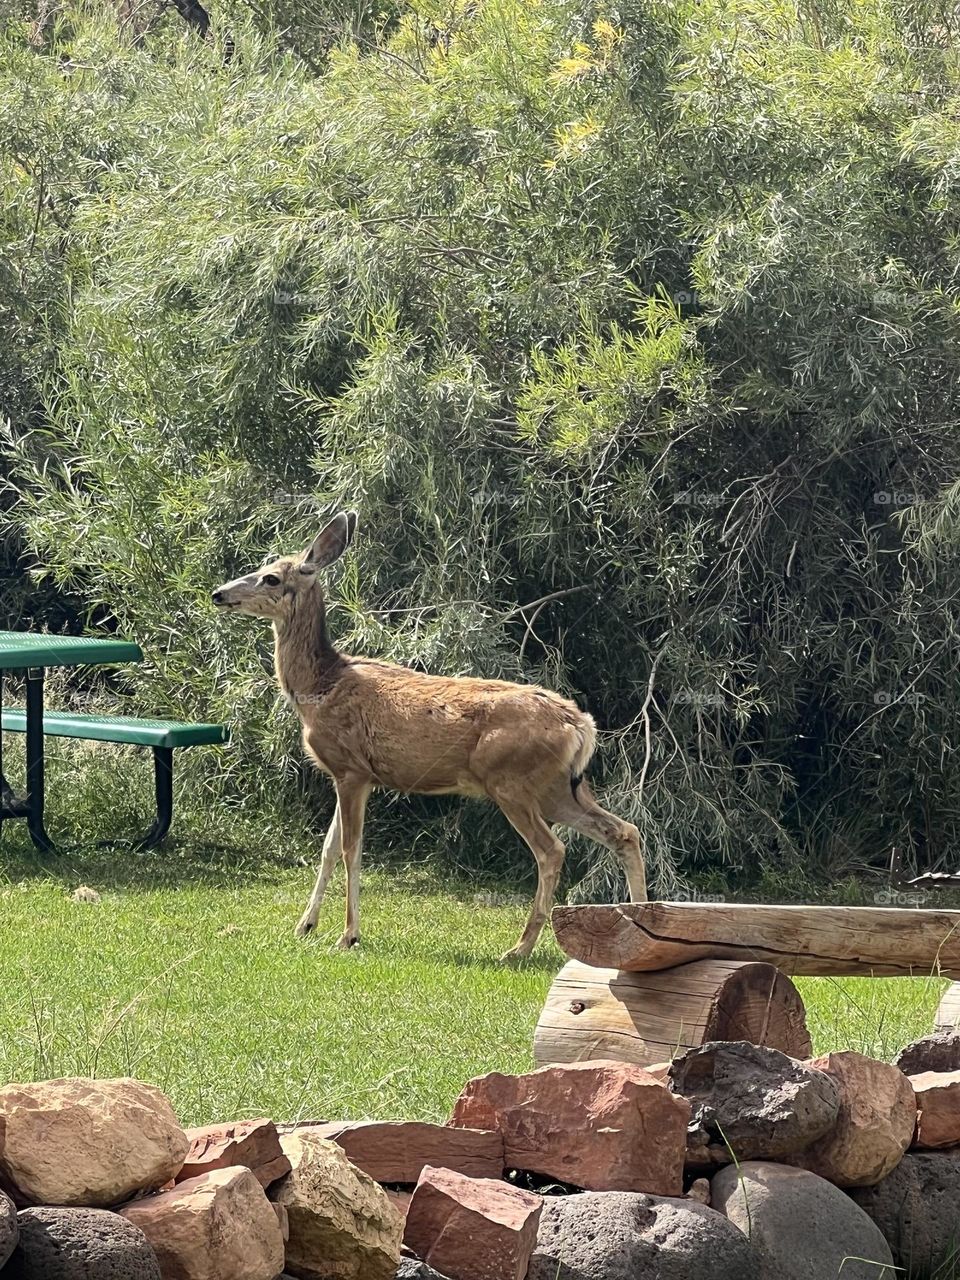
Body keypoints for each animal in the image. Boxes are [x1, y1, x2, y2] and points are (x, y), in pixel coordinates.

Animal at [212, 511, 646, 959]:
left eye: (271, 578)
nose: (218, 594)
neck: (320, 686)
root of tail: (582, 726)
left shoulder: (353, 770)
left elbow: (351, 849)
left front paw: (348, 935)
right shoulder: (347, 774)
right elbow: (328, 849)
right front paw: (305, 925)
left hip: (511, 782)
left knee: (552, 850)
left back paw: (518, 949)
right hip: (560, 788)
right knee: (624, 831)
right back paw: (637, 929)